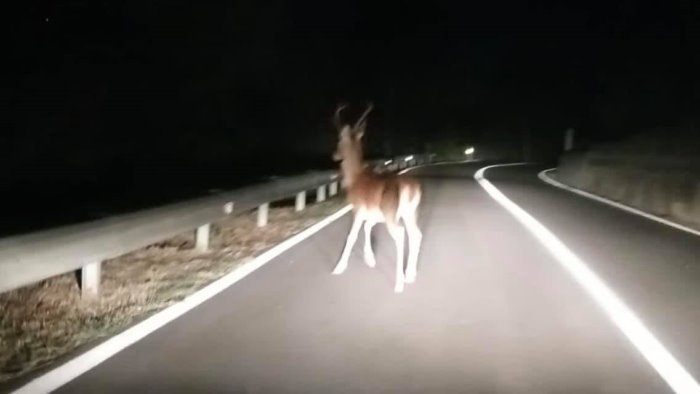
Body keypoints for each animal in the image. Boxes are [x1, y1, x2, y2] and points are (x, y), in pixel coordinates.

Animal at [332, 101, 424, 292]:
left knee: (401, 234)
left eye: (339, 139)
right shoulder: (373, 213)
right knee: (416, 234)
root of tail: (411, 187)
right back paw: (410, 275)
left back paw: (399, 283)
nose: (334, 155)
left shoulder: (358, 209)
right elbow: (367, 228)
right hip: (410, 212)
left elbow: (352, 235)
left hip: (392, 213)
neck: (355, 179)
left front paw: (338, 267)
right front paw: (370, 259)